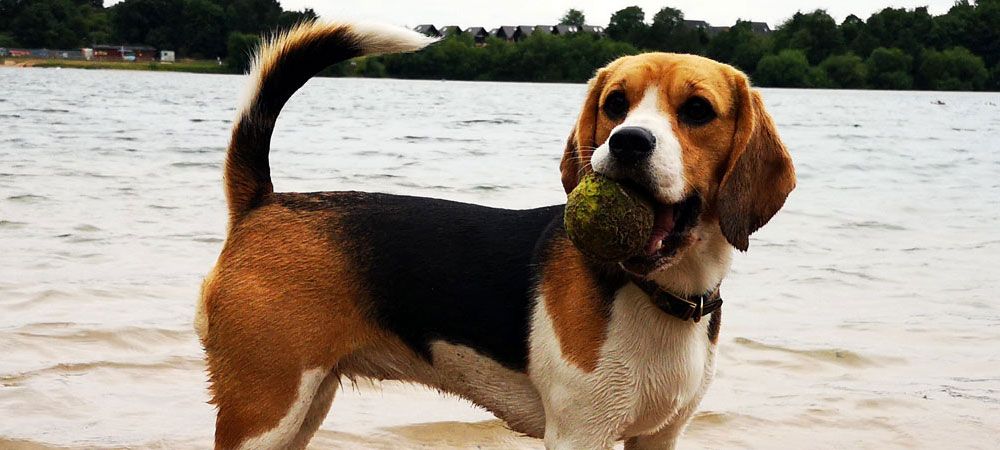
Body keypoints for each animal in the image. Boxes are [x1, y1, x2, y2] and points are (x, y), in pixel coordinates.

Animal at [197, 21, 796, 450]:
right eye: (614, 105)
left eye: (697, 111)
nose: (627, 142)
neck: (659, 293)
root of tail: (264, 202)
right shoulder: (580, 434)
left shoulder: (660, 437)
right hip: (266, 411)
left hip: (306, 405)